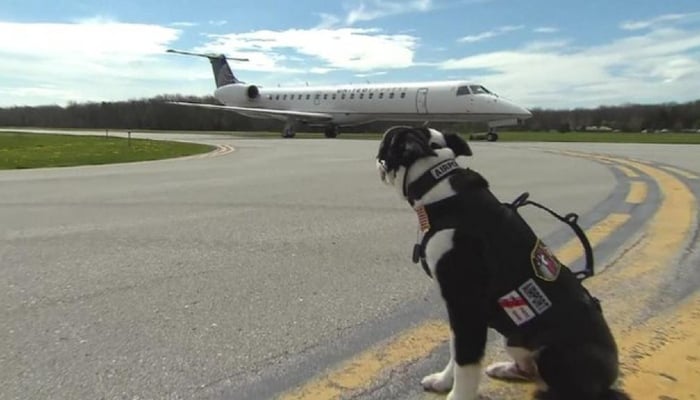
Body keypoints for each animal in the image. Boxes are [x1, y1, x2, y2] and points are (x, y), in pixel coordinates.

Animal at [378, 126, 628, 400]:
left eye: (387, 143)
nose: (378, 154)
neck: (437, 186)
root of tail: (611, 372)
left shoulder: (466, 306)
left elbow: (465, 360)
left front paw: (456, 394)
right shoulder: (461, 314)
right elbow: (455, 352)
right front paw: (443, 382)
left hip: (556, 355)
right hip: (513, 340)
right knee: (528, 370)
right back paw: (505, 369)